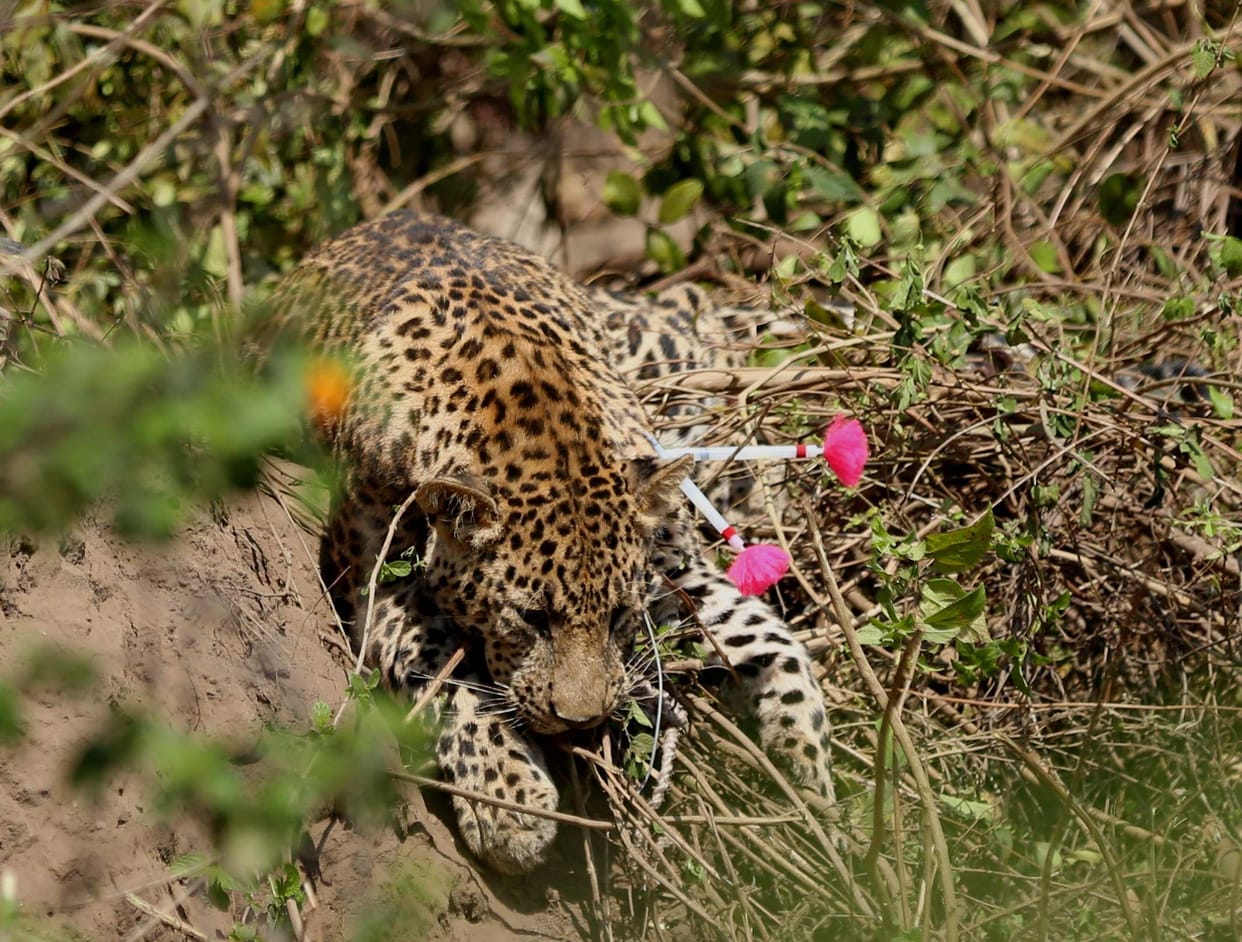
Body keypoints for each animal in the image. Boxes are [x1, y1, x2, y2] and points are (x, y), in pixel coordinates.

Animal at [266, 210, 835, 873]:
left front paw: (811, 767)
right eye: (532, 619)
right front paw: (510, 802)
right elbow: (445, 674)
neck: (531, 395)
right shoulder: (375, 580)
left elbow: (761, 632)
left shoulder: (672, 562)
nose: (579, 721)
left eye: (617, 615)